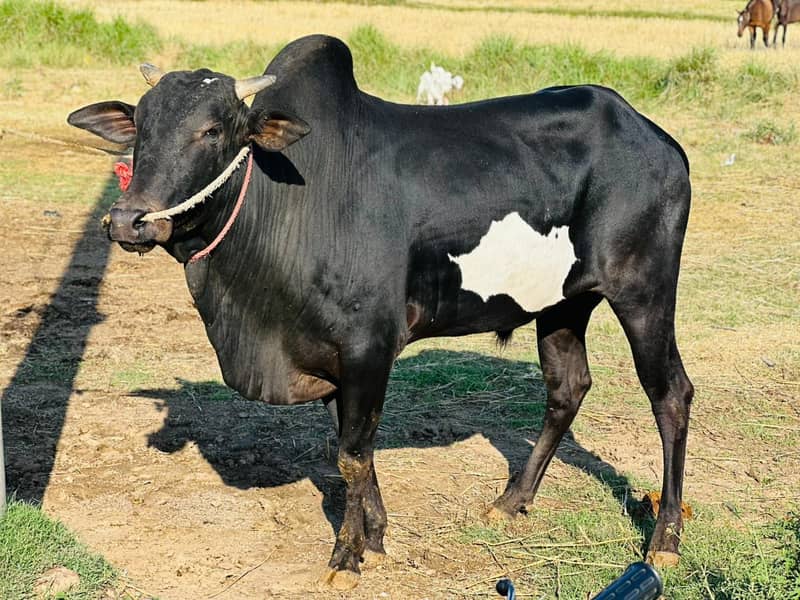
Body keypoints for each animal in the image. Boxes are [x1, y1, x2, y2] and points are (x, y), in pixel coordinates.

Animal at [67, 35, 694, 589]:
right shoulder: (329, 358)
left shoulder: (369, 346)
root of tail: (656, 137)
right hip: (563, 304)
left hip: (644, 292)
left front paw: (347, 556)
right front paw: (375, 535)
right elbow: (355, 454)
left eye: (213, 130)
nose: (128, 221)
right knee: (568, 388)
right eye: (142, 126)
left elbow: (350, 456)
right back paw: (512, 500)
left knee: (671, 395)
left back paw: (664, 539)